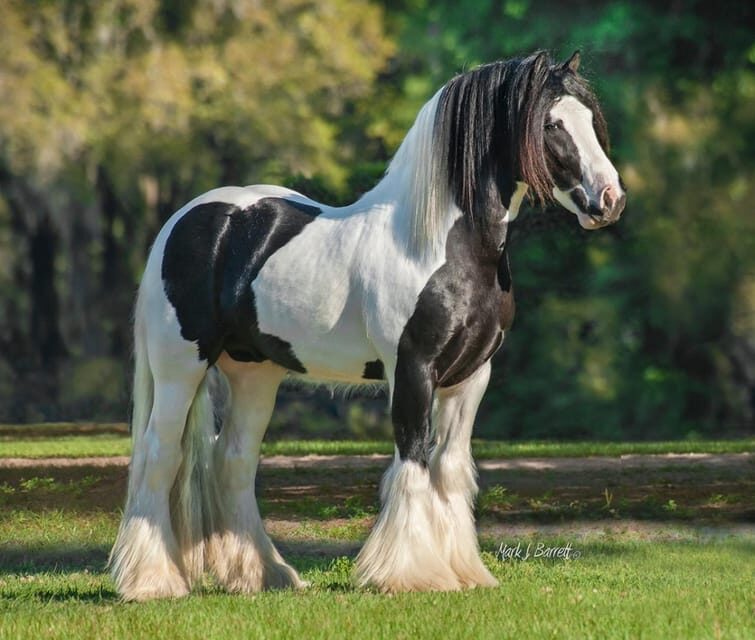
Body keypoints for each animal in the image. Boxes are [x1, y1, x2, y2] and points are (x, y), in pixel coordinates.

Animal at [109, 50, 626, 601]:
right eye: (552, 124)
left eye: (591, 119)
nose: (610, 199)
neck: (442, 246)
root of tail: (183, 220)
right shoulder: (413, 370)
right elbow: (413, 461)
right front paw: (410, 574)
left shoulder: (471, 377)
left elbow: (449, 467)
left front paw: (464, 573)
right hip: (180, 367)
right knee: (160, 455)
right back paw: (151, 582)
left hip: (255, 375)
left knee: (233, 461)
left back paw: (265, 575)